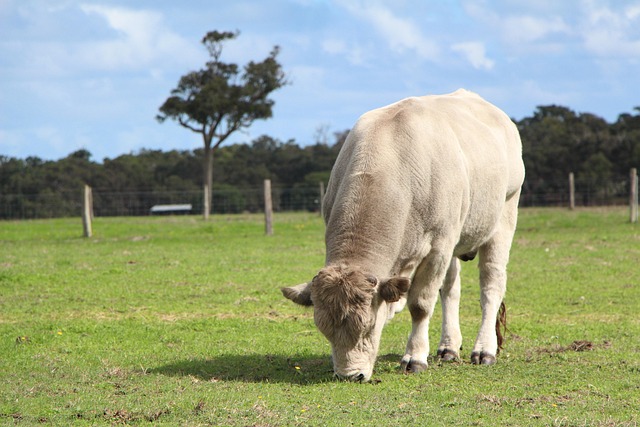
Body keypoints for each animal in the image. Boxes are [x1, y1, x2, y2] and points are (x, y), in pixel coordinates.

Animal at [282, 89, 525, 382]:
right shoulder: (442, 246)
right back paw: (448, 346)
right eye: (324, 329)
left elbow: (420, 304)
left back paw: (484, 349)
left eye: (369, 327)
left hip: (503, 218)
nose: (350, 376)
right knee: (451, 289)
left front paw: (415, 357)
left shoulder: (438, 248)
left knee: (491, 286)